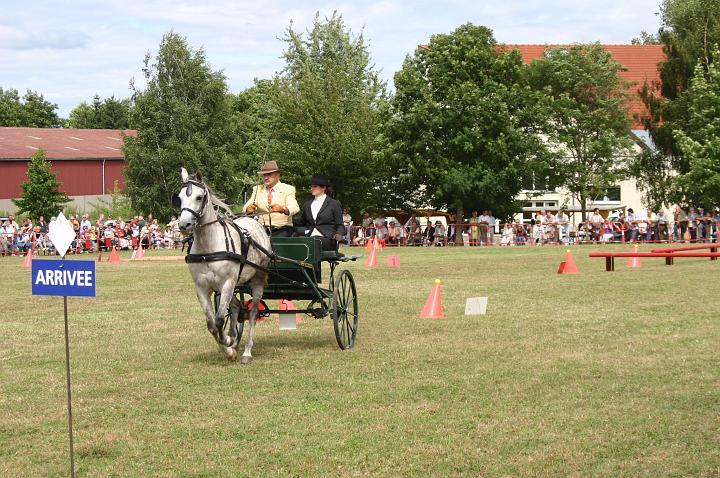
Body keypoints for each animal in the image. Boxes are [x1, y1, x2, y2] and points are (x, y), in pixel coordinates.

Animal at [174, 168, 271, 364]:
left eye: (199, 197)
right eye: (179, 197)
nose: (183, 224)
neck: (208, 247)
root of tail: (255, 221)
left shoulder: (227, 284)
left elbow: (219, 320)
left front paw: (227, 341)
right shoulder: (203, 288)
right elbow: (211, 325)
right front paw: (229, 347)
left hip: (256, 279)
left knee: (252, 313)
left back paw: (247, 351)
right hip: (232, 285)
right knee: (236, 306)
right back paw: (234, 337)